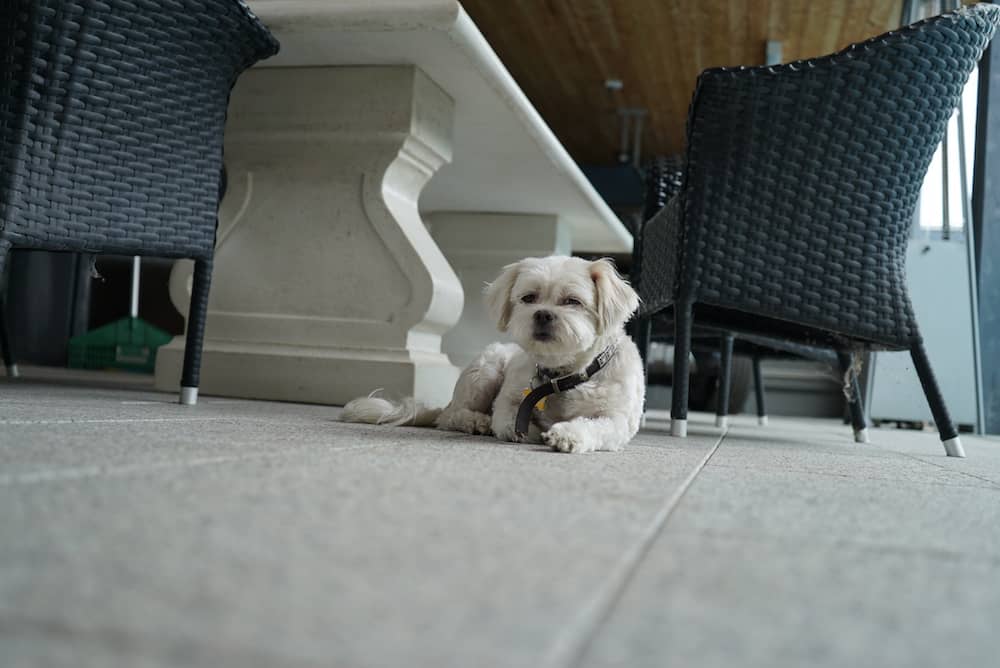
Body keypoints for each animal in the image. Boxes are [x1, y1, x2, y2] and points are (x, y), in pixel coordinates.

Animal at [340, 256, 644, 454]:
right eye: (528, 298)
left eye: (572, 301)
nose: (543, 314)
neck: (563, 376)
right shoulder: (509, 404)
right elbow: (510, 422)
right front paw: (533, 431)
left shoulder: (618, 421)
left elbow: (597, 427)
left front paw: (568, 434)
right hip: (486, 369)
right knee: (450, 416)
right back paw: (476, 421)